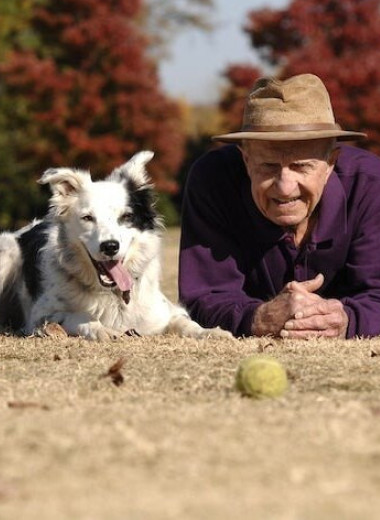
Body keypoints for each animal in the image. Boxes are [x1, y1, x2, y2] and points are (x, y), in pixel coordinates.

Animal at [0, 151, 232, 338]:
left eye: (126, 217)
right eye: (87, 218)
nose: (110, 246)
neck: (113, 294)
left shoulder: (164, 312)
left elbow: (185, 322)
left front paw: (211, 332)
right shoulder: (40, 315)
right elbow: (78, 317)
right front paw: (100, 329)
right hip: (7, 252)